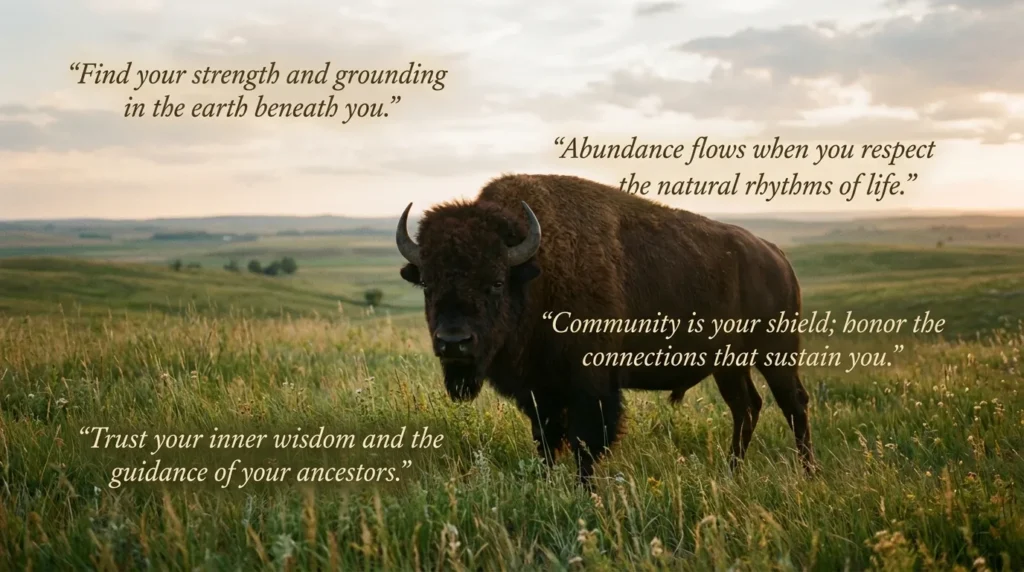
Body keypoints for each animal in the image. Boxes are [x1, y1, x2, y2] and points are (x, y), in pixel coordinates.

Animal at [396, 173, 817, 486]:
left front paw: (585, 491)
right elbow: (546, 441)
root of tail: (776, 255)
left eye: (496, 282)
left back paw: (808, 475)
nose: (454, 343)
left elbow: (586, 442)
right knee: (746, 407)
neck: (537, 273)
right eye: (428, 285)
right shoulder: (539, 391)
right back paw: (732, 473)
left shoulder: (591, 386)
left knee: (792, 403)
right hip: (729, 364)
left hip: (776, 353)